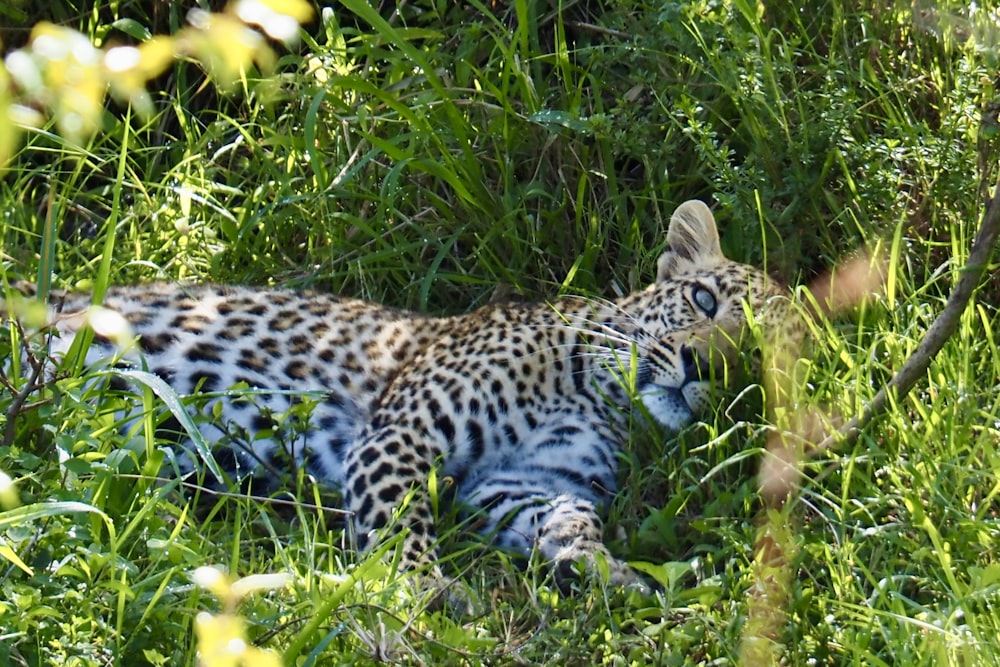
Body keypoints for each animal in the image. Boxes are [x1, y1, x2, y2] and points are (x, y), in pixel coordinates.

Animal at [23, 201, 784, 592]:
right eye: (703, 298)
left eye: (757, 361)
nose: (704, 367)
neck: (603, 398)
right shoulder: (404, 433)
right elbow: (398, 523)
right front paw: (422, 593)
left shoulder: (522, 480)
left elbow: (568, 518)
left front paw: (602, 566)